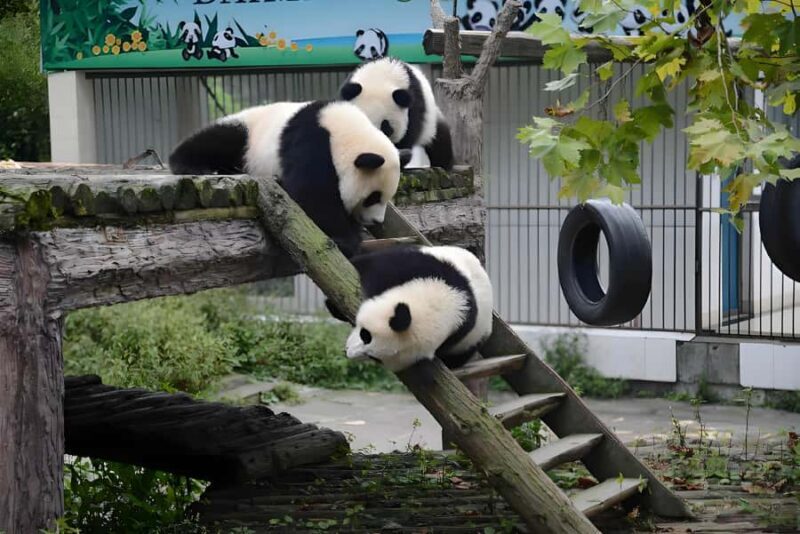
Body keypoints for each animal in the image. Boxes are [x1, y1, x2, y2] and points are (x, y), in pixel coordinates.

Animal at [168, 101, 402, 257]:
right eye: (373, 197)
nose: (377, 221)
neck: (342, 130)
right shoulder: (311, 141)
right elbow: (312, 192)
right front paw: (346, 240)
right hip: (248, 135)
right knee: (219, 140)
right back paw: (196, 165)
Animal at [343, 245, 494, 372]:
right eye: (365, 335)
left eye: (375, 358)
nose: (346, 351)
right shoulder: (414, 266)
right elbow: (370, 264)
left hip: (476, 338)